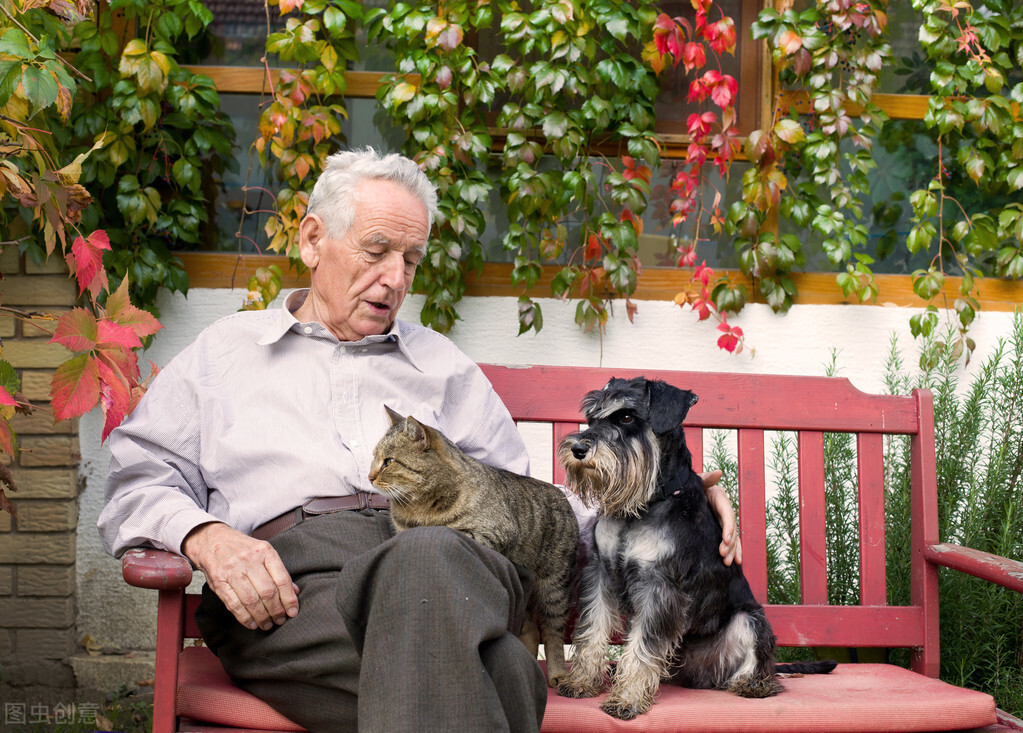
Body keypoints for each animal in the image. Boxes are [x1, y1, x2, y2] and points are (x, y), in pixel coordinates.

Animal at [368, 406, 581, 686]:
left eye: (389, 461)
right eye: (373, 458)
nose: (369, 476)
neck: (417, 509)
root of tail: (563, 497)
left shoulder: (490, 532)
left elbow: (445, 530)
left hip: (554, 587)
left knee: (552, 632)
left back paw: (557, 674)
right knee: (532, 631)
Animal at [556, 374, 834, 719]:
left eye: (626, 417)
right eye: (592, 418)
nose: (578, 448)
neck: (645, 505)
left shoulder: (659, 586)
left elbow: (641, 647)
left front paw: (627, 699)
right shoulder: (601, 575)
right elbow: (592, 630)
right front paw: (581, 681)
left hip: (749, 620)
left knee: (762, 664)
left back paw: (753, 683)